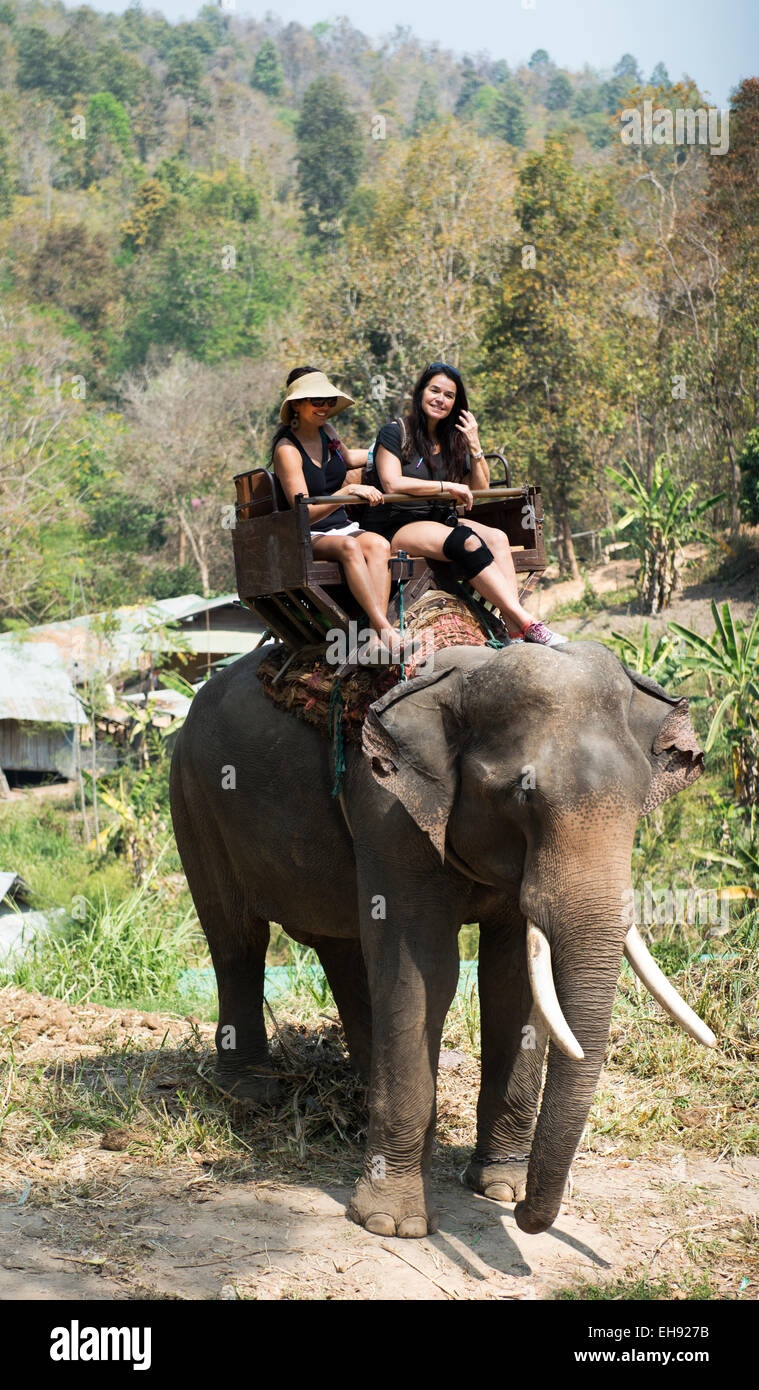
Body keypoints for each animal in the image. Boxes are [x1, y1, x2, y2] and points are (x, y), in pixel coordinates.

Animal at [169, 638, 715, 1239]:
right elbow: (424, 969)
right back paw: (251, 1096)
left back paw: (364, 1092)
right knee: (236, 940)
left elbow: (511, 976)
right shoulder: (389, 811)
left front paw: (500, 1187)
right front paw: (392, 1223)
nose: (526, 1217)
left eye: (641, 798)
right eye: (522, 794)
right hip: (192, 796)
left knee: (342, 948)